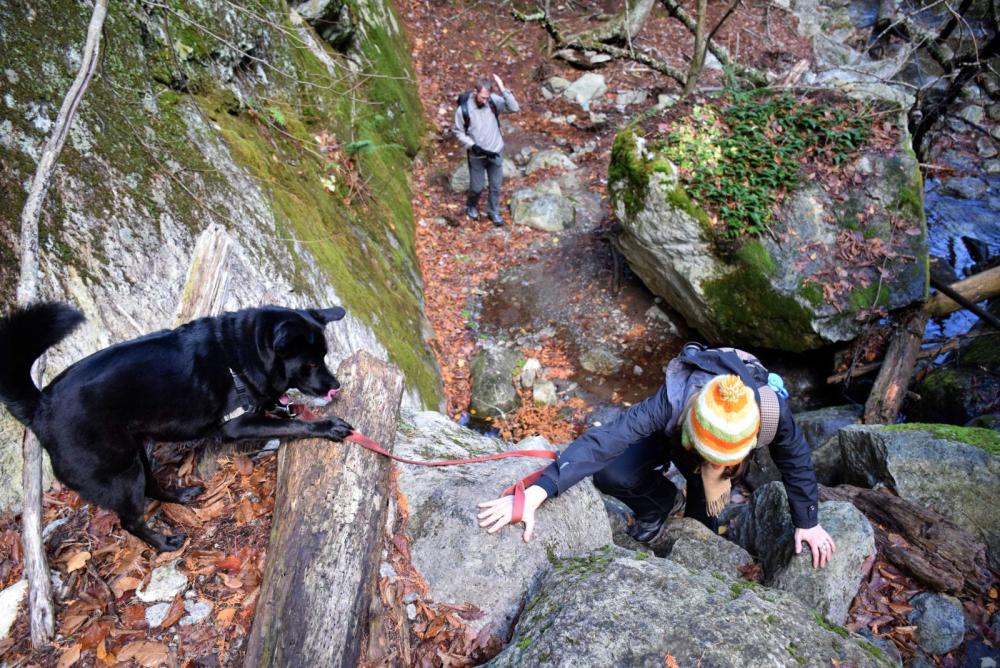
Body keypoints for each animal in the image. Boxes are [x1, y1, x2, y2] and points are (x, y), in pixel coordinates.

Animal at [0, 304, 356, 552]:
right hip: (121, 473)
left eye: (324, 357)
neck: (244, 354)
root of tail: (41, 407)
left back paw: (181, 495)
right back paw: (163, 544)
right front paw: (327, 426)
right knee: (130, 520)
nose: (335, 386)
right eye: (311, 364)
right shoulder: (239, 422)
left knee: (152, 487)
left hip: (137, 453)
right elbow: (292, 423)